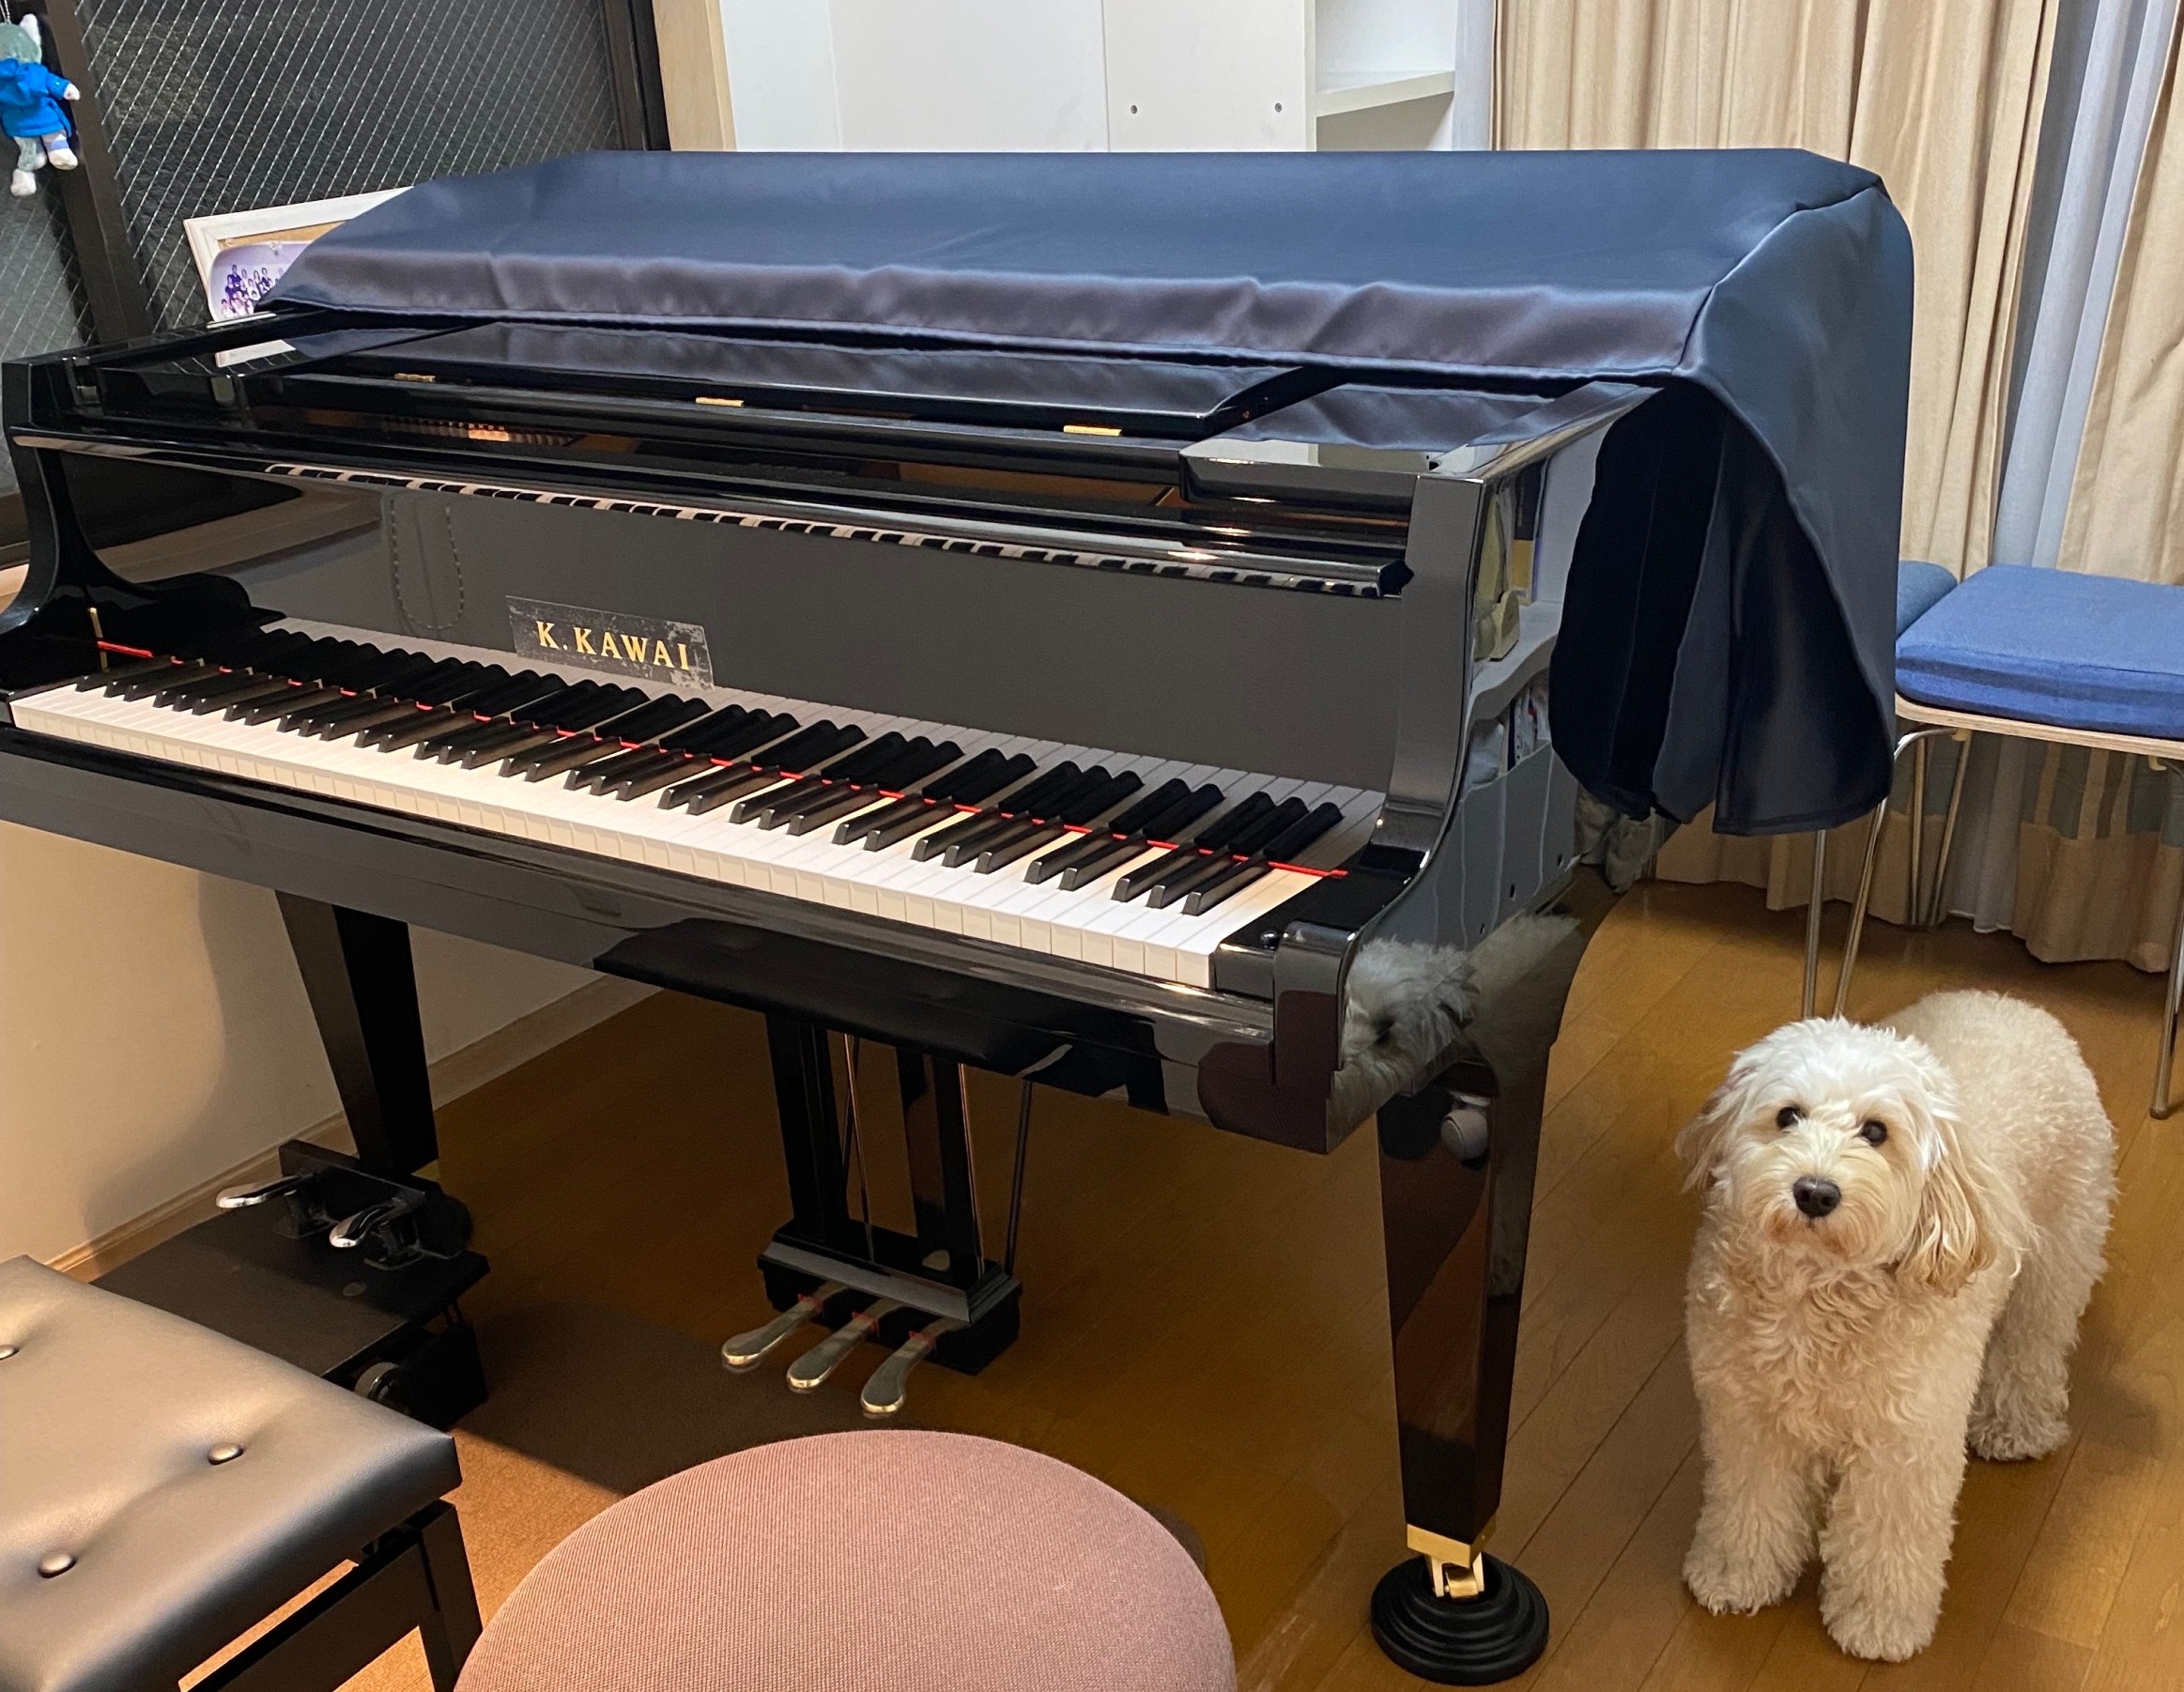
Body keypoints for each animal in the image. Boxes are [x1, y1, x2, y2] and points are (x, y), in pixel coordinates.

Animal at [1676, 991, 2114, 1661]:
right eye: (1787, 1116)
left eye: (1876, 1131)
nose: (1815, 1192)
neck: (1819, 1296)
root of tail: (2014, 1002)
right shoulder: (1751, 1418)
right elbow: (1752, 1501)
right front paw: (1736, 1573)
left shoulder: (1905, 1444)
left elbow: (1887, 1538)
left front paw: (1878, 1621)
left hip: (2058, 1256)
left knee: (2032, 1347)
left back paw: (2014, 1426)